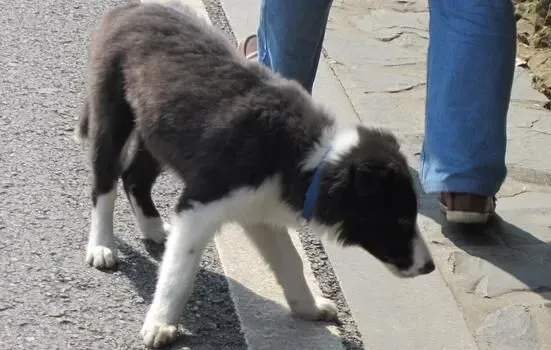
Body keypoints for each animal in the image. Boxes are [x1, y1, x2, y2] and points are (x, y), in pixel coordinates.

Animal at [76, 2, 436, 348]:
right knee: (105, 182)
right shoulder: (202, 202)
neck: (307, 160)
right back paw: (102, 246)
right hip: (112, 110)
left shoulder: (260, 210)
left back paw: (154, 229)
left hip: (156, 128)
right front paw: (160, 324)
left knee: (134, 176)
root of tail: (129, 8)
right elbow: (180, 270)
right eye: (402, 219)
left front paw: (309, 307)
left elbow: (291, 262)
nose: (429, 267)